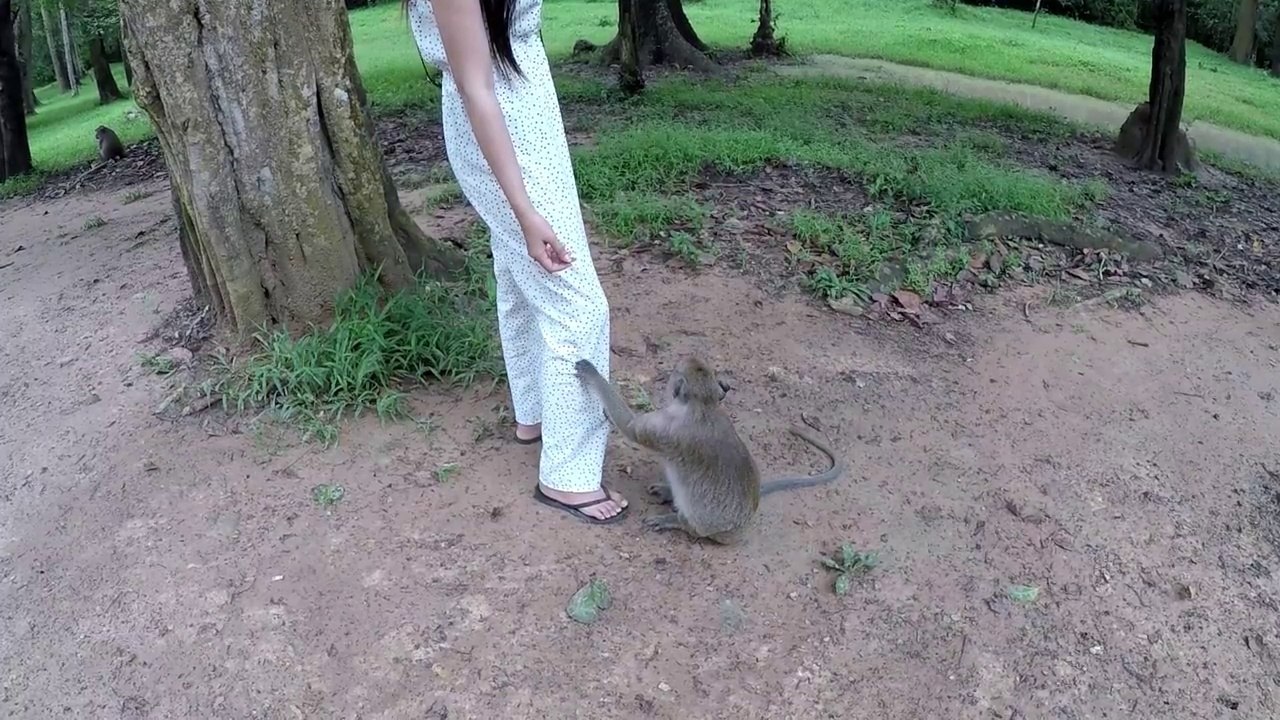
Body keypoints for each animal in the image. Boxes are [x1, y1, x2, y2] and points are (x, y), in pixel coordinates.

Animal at [574, 356, 845, 544]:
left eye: (675, 373)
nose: (669, 376)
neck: (703, 406)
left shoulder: (666, 427)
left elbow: (631, 428)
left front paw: (593, 375)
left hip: (707, 526)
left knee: (693, 524)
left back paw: (678, 521)